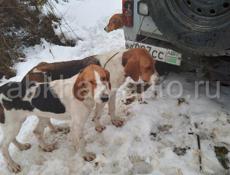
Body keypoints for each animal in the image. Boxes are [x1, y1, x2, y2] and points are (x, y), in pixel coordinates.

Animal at [26, 47, 158, 133]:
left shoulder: (111, 93)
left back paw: (55, 129)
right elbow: (98, 115)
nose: (158, 80)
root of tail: (28, 74)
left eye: (154, 64)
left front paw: (114, 120)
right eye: (148, 67)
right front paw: (98, 126)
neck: (118, 65)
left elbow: (112, 108)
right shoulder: (102, 98)